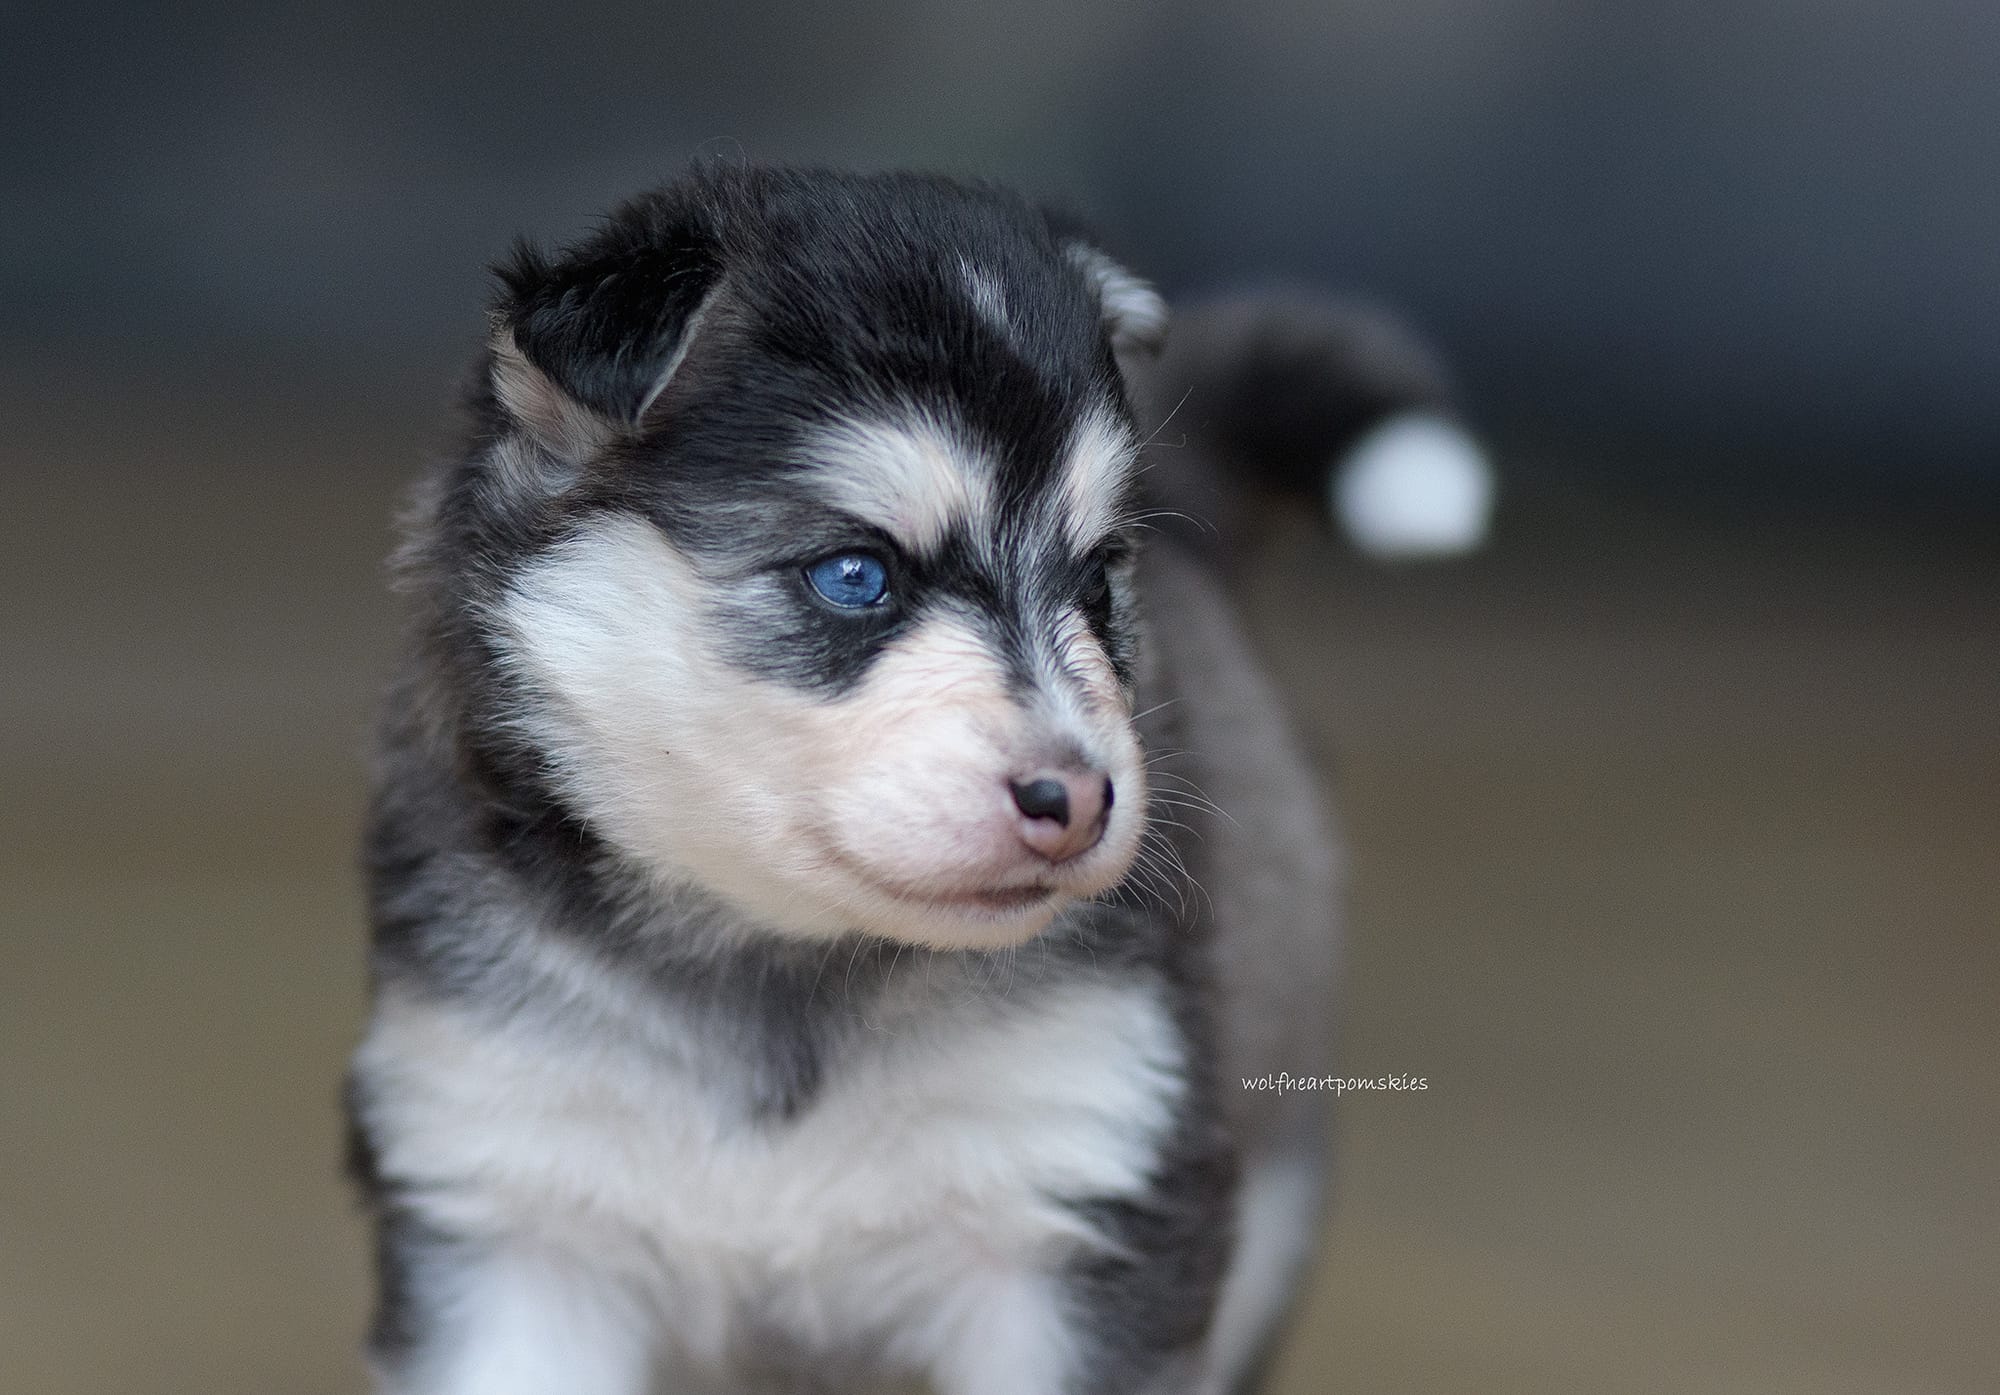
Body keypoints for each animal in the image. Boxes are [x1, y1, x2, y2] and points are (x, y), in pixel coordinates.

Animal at [346, 163, 1486, 1395]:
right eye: (856, 575)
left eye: (1096, 582)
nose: (1077, 801)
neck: (780, 964)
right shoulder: (506, 1202)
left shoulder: (1077, 1189)